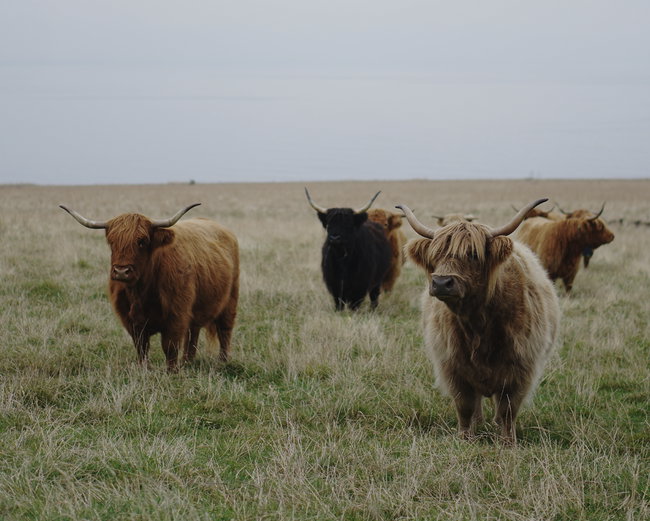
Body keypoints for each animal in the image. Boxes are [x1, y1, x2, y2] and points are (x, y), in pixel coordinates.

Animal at [60, 203, 239, 371]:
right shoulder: (131, 319)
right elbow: (142, 346)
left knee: (224, 330)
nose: (121, 271)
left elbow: (170, 346)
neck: (141, 292)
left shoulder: (176, 314)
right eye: (112, 242)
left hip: (230, 300)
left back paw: (222, 361)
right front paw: (144, 369)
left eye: (142, 242)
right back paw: (187, 362)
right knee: (193, 333)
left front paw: (172, 372)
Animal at [397, 199, 560, 444]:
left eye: (473, 254)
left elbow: (508, 408)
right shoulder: (453, 366)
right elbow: (465, 405)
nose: (441, 282)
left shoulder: (521, 368)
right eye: (436, 255)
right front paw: (465, 437)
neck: (478, 324)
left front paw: (508, 442)